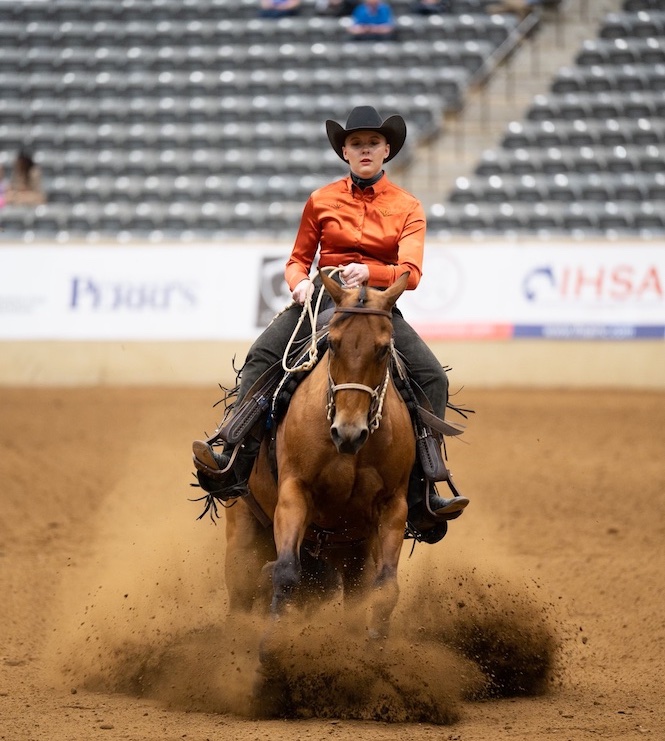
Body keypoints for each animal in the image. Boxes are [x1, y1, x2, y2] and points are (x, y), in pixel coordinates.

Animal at [223, 270, 416, 636]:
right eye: (335, 344)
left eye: (384, 349)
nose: (348, 432)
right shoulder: (294, 490)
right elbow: (285, 572)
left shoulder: (393, 505)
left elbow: (386, 590)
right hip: (242, 531)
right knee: (242, 590)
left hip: (353, 552)